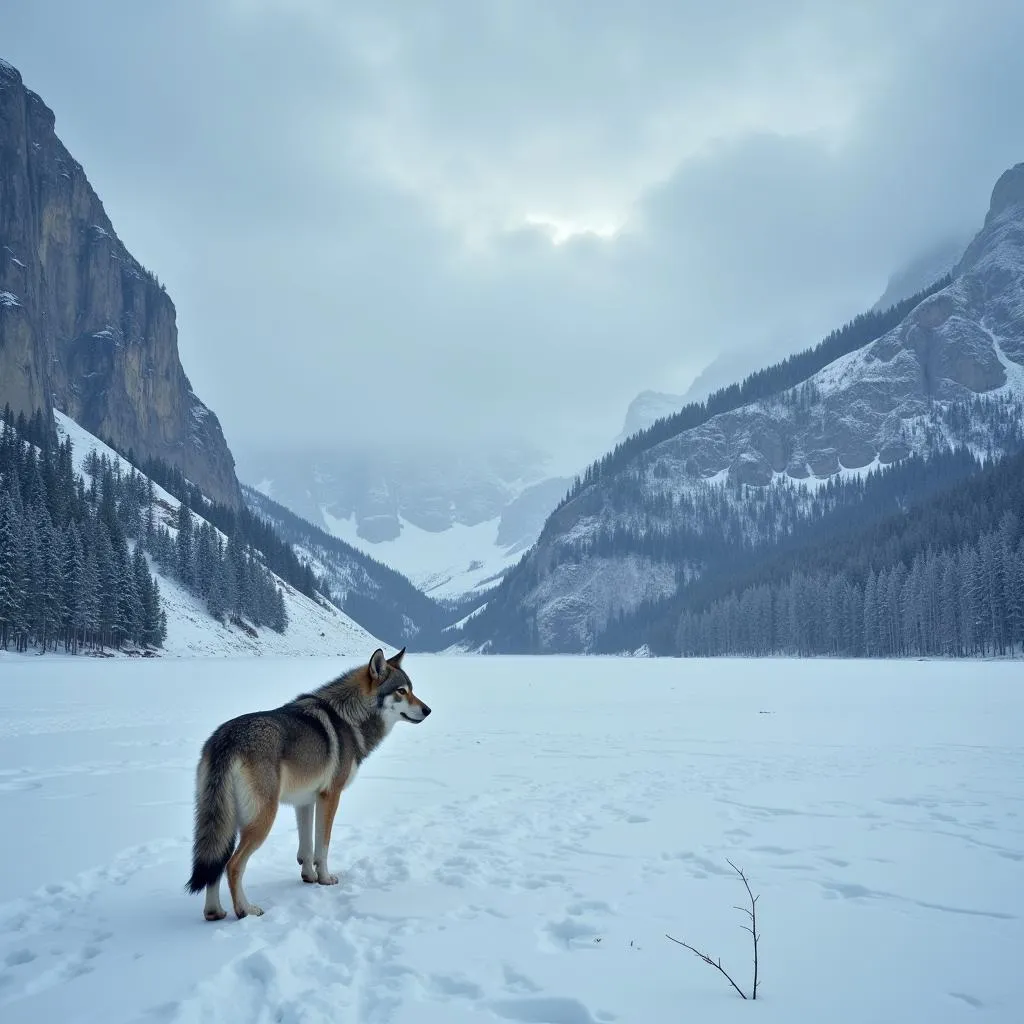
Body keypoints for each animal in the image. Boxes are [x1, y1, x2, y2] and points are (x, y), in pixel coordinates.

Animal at [184, 647, 428, 921]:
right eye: (401, 691)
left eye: (411, 689)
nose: (428, 710)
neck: (349, 718)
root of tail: (225, 740)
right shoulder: (330, 796)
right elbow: (323, 845)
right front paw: (325, 879)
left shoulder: (305, 801)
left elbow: (307, 847)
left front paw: (308, 877)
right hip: (262, 820)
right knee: (232, 865)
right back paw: (245, 909)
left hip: (225, 822)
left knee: (214, 865)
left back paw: (214, 912)